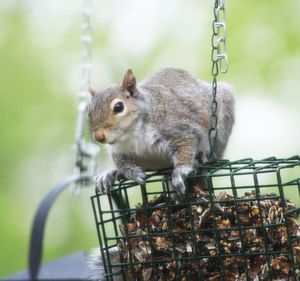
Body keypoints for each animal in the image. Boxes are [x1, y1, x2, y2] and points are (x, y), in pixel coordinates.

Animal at [88, 67, 233, 195]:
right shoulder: (117, 149)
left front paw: (180, 172)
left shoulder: (180, 130)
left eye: (119, 107)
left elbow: (186, 147)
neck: (132, 135)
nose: (98, 137)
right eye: (89, 112)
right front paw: (132, 172)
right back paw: (110, 174)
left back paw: (202, 157)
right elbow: (120, 161)